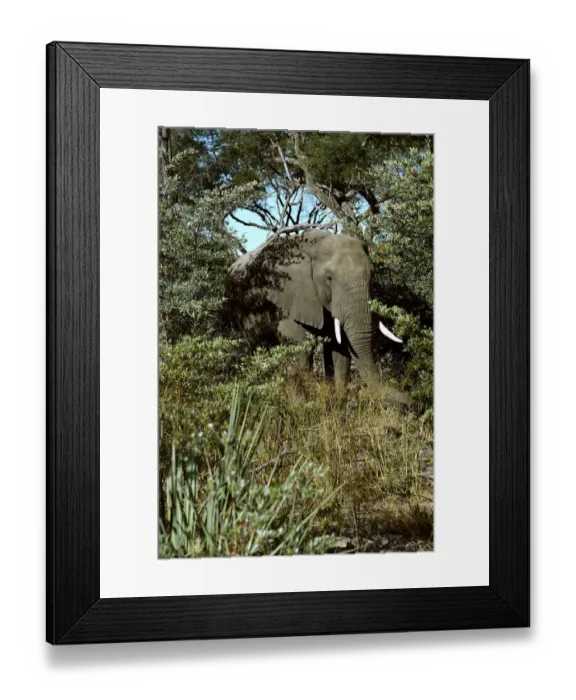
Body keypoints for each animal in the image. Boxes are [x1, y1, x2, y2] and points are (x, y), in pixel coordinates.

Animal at [227, 230, 402, 383]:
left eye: (372, 275)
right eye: (329, 278)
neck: (316, 245)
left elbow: (338, 352)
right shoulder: (289, 294)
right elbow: (301, 350)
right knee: (260, 348)